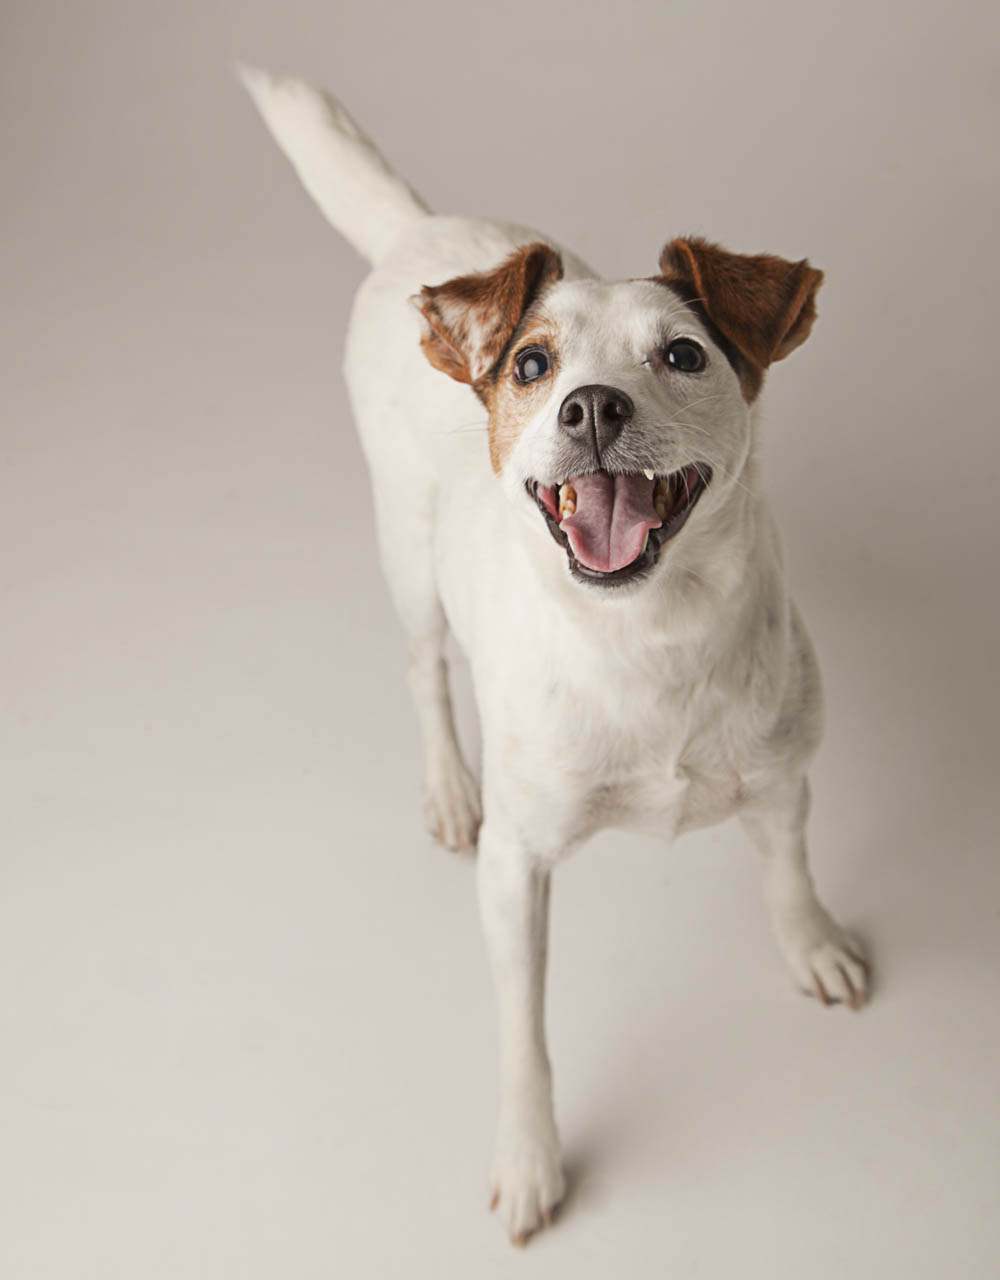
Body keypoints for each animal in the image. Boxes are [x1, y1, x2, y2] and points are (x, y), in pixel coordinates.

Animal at [242, 68, 870, 1245]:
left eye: (682, 354)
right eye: (533, 365)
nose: (589, 405)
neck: (648, 635)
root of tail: (422, 234)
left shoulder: (780, 778)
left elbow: (787, 872)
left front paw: (810, 942)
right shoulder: (517, 871)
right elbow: (524, 1033)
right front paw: (530, 1156)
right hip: (408, 561)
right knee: (422, 670)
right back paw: (449, 785)